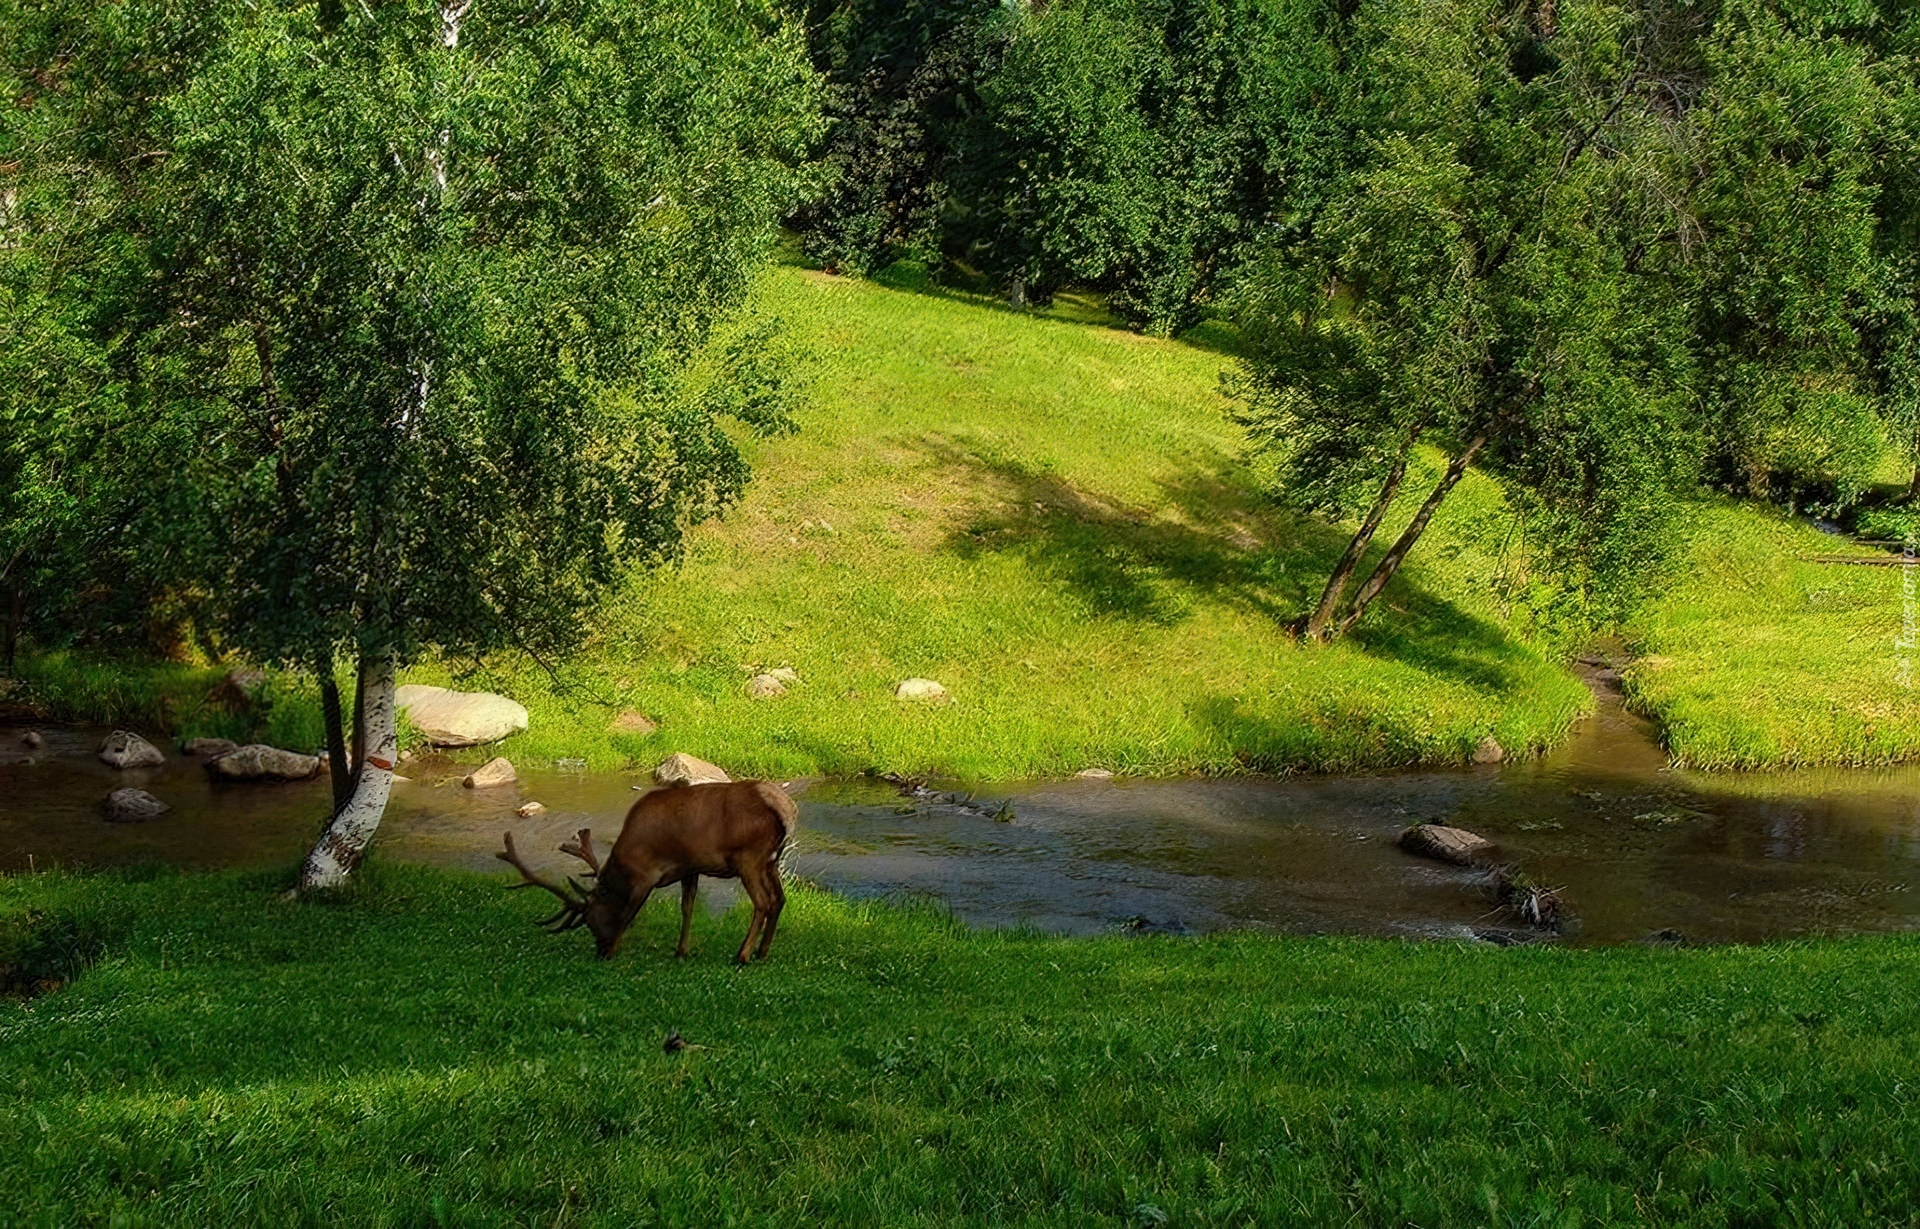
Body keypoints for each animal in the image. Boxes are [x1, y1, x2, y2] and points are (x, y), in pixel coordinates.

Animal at [499, 783, 798, 963]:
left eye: (589, 920)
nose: (601, 952)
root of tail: (786, 813)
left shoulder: (645, 875)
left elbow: (628, 912)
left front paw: (615, 948)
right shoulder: (690, 866)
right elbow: (687, 905)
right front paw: (681, 950)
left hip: (750, 857)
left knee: (763, 902)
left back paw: (742, 955)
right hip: (770, 862)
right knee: (779, 899)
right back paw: (762, 951)